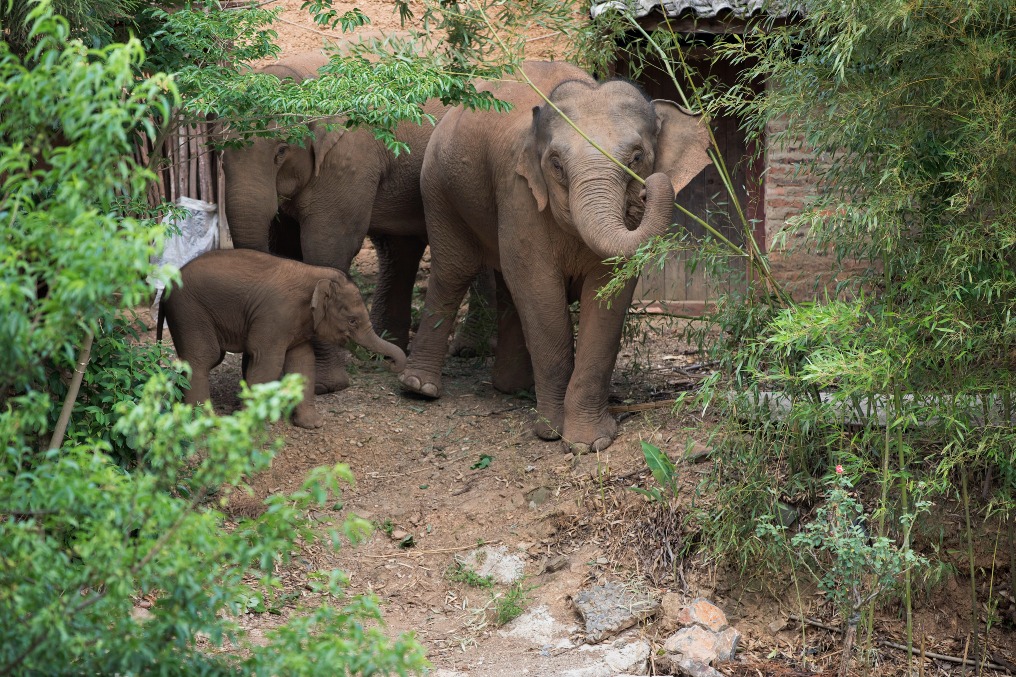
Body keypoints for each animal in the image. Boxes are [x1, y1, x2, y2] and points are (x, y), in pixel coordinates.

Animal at [160, 248, 406, 426]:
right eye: (353, 321)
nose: (395, 366)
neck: (315, 274)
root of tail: (166, 284)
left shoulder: (295, 324)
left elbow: (303, 361)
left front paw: (312, 425)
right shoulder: (275, 316)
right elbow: (268, 362)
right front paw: (247, 423)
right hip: (189, 312)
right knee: (203, 358)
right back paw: (201, 419)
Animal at [400, 60, 711, 451]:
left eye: (638, 157)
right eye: (557, 164)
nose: (645, 192)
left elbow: (608, 298)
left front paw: (588, 443)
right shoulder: (521, 193)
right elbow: (539, 292)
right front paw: (552, 432)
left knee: (504, 282)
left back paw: (512, 387)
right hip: (438, 188)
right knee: (454, 271)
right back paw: (420, 388)